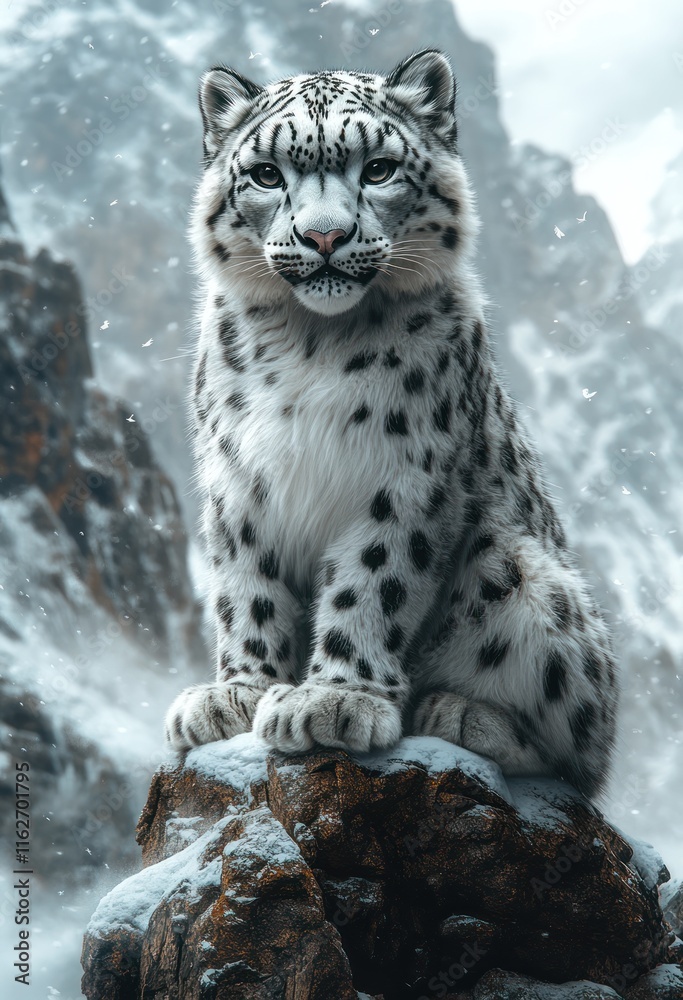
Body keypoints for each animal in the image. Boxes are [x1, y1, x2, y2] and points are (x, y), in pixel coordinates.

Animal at [164, 49, 618, 798]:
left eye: (376, 168)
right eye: (266, 174)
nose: (323, 236)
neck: (310, 342)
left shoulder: (406, 474)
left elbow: (373, 579)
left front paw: (333, 701)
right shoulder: (237, 480)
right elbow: (245, 584)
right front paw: (238, 692)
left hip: (528, 575)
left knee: (577, 755)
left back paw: (459, 714)